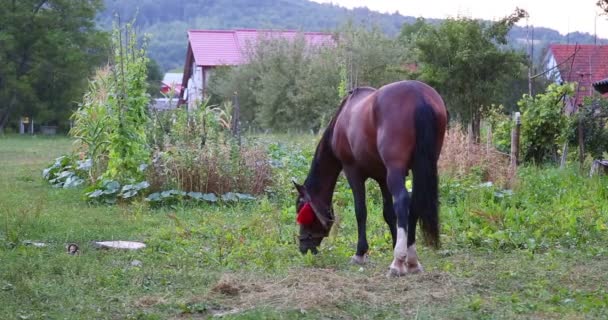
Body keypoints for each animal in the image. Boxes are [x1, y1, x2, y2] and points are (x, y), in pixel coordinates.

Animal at [292, 79, 448, 276]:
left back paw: (398, 262)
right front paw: (396, 243)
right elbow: (388, 213)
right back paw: (411, 260)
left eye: (300, 208)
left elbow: (361, 211)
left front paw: (361, 253)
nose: (304, 247)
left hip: (395, 170)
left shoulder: (353, 172)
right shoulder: (382, 177)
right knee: (414, 202)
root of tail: (418, 95)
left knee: (402, 201)